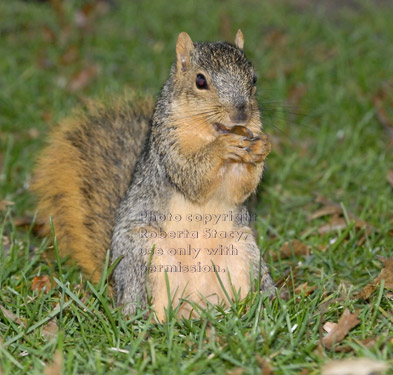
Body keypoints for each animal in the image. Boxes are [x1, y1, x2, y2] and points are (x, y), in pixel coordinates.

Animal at [33, 30, 272, 322]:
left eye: (254, 78)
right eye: (200, 81)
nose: (241, 113)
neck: (212, 130)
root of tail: (195, 307)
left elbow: (237, 189)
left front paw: (262, 147)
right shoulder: (167, 145)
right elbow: (192, 176)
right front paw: (222, 148)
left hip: (241, 251)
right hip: (146, 256)